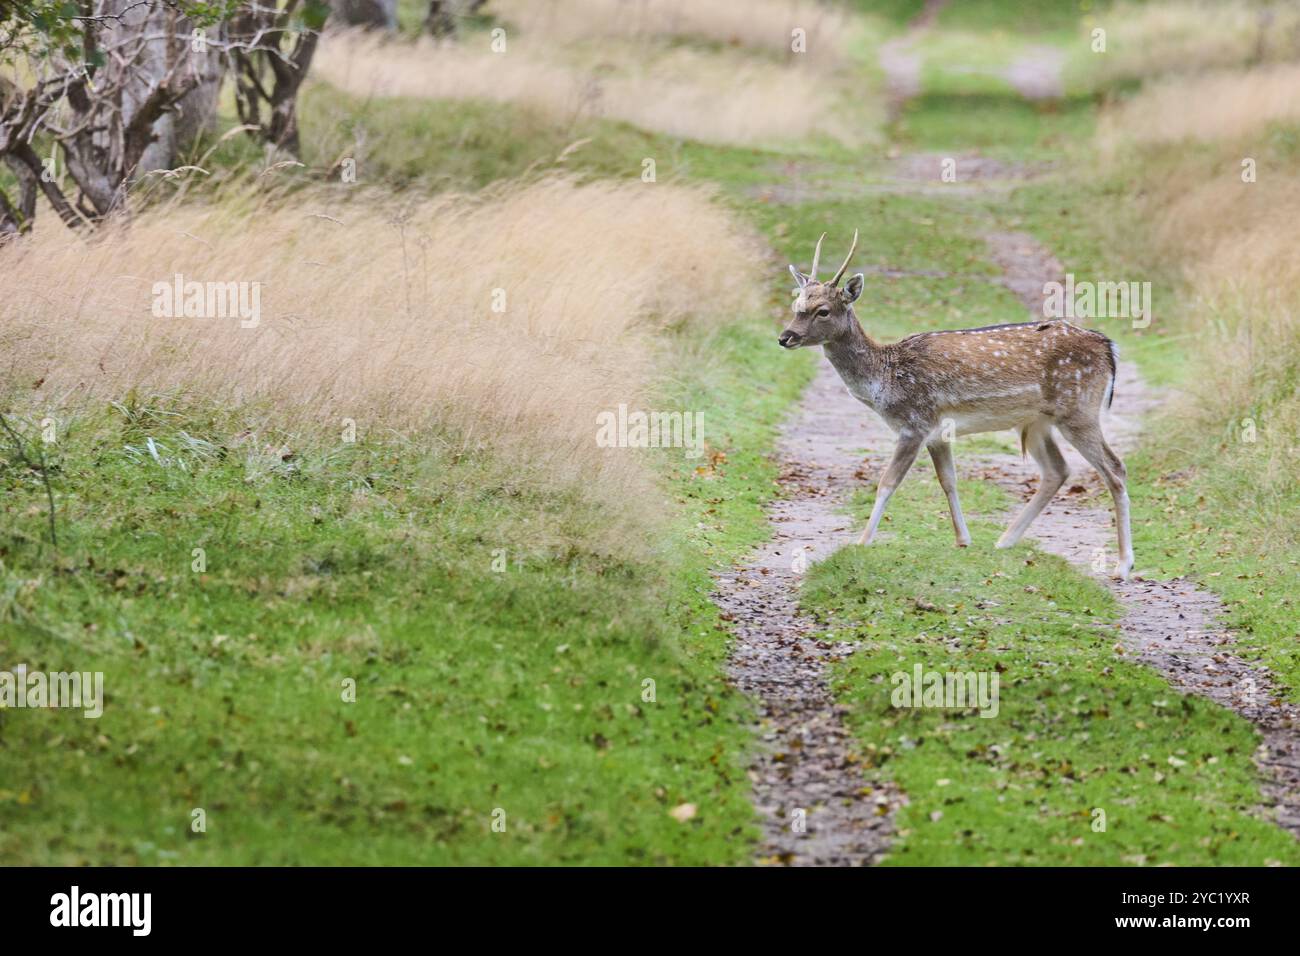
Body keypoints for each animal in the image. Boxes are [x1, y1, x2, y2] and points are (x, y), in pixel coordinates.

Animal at [779, 231, 1134, 580]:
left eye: (823, 310)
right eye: (796, 305)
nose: (785, 337)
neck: (886, 378)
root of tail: (1108, 346)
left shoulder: (914, 423)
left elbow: (887, 482)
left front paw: (862, 542)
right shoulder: (937, 432)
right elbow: (948, 481)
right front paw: (964, 540)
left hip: (1079, 409)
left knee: (1114, 468)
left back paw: (1123, 564)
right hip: (1037, 422)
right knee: (1057, 470)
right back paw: (1005, 540)